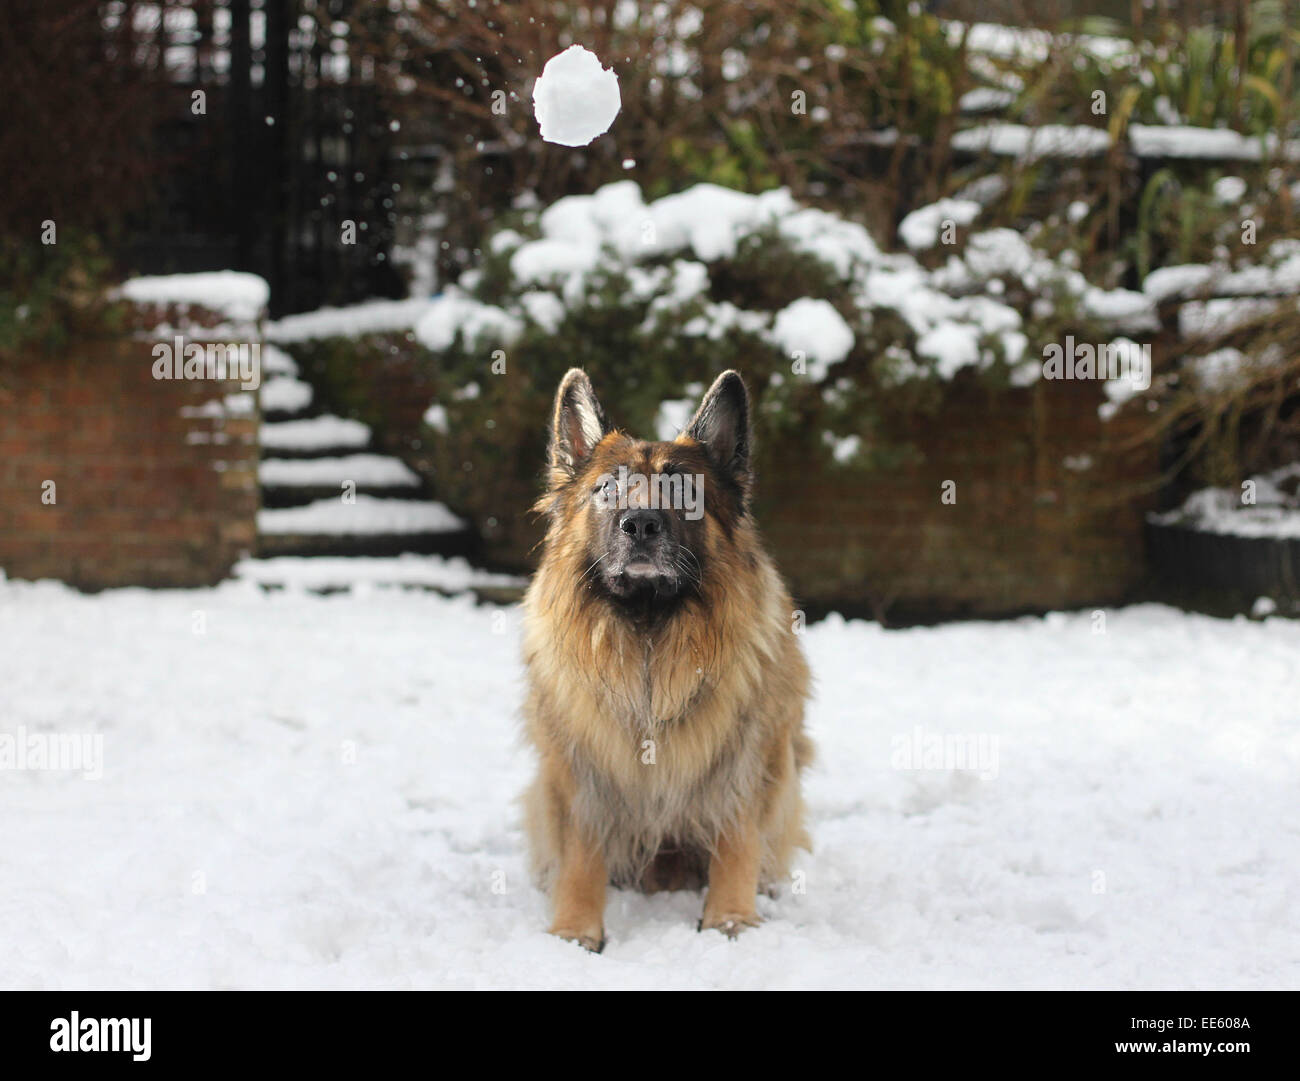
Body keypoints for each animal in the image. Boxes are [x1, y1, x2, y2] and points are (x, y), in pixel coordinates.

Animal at [520, 368, 811, 945]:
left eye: (686, 491)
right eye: (607, 487)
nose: (640, 524)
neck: (650, 634)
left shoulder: (744, 758)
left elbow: (737, 838)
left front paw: (729, 920)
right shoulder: (580, 768)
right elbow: (582, 850)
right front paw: (575, 929)